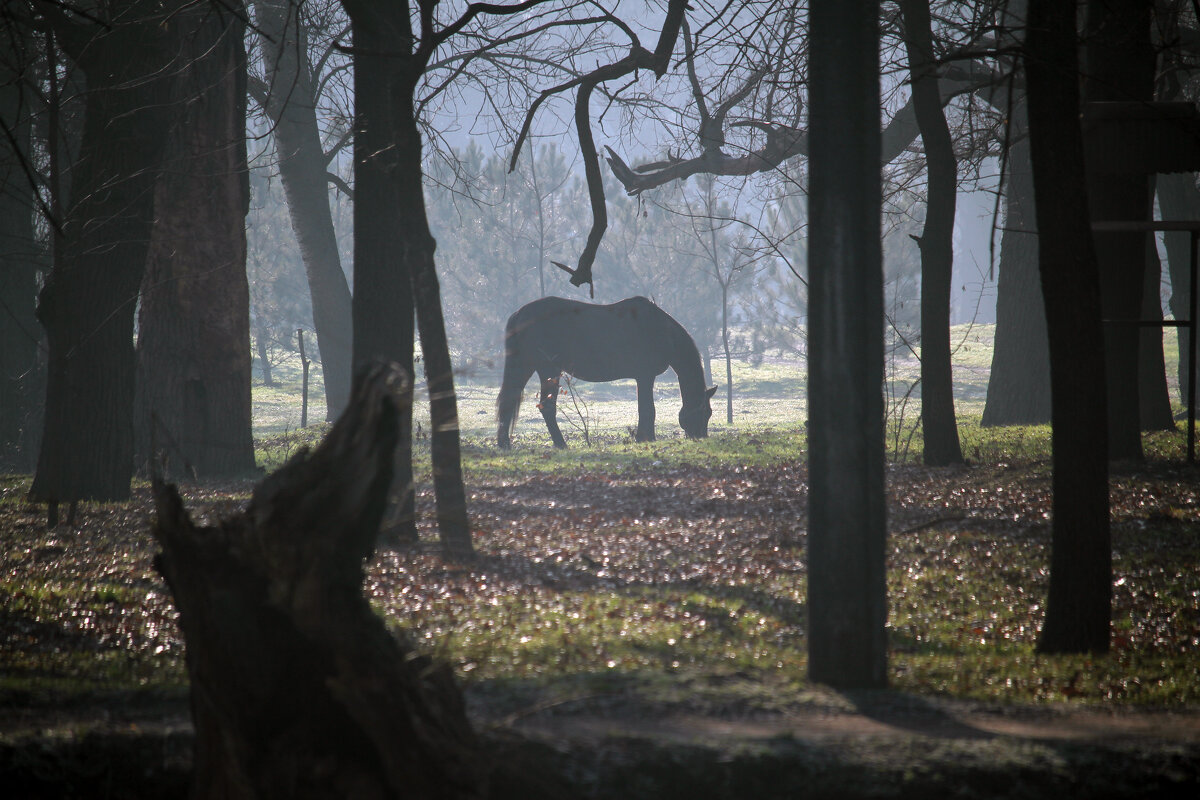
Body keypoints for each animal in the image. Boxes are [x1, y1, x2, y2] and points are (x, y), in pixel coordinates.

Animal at [494, 297, 710, 450]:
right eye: (704, 412)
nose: (702, 438)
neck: (660, 330)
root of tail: (519, 314)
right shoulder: (645, 376)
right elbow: (648, 409)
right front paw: (645, 439)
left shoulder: (644, 377)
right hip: (547, 369)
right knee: (546, 407)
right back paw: (561, 444)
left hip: (527, 367)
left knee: (509, 401)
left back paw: (504, 444)